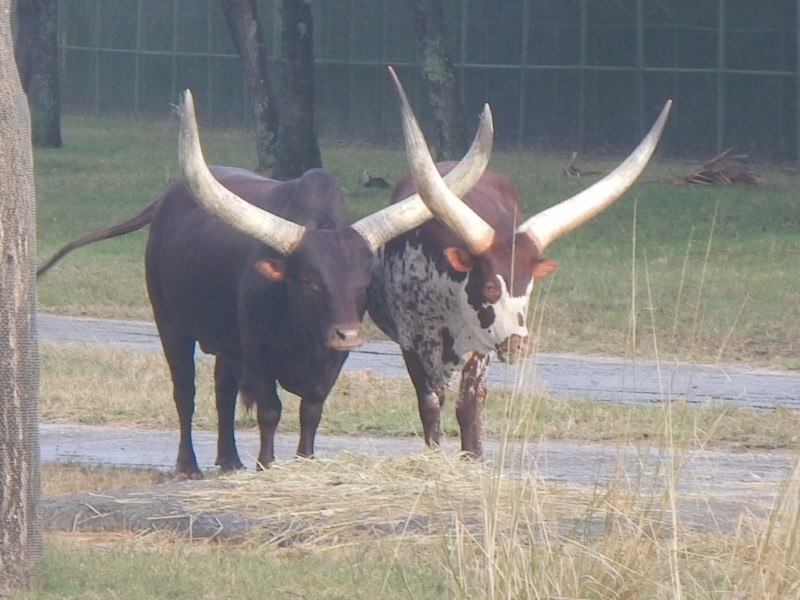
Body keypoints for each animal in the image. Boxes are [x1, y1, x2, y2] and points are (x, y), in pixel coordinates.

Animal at [38, 84, 495, 478]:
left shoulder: (328, 362)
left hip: (226, 340)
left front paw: (304, 461)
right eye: (311, 281)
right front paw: (266, 464)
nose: (347, 334)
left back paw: (229, 459)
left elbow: (311, 410)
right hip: (172, 325)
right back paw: (189, 465)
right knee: (185, 392)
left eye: (363, 283)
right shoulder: (257, 353)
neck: (302, 329)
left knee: (222, 391)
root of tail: (167, 200)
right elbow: (270, 410)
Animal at [368, 70, 671, 457]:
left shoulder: (480, 345)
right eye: (488, 285)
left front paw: (474, 458)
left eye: (528, 287)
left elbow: (470, 406)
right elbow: (430, 405)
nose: (518, 344)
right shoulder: (410, 342)